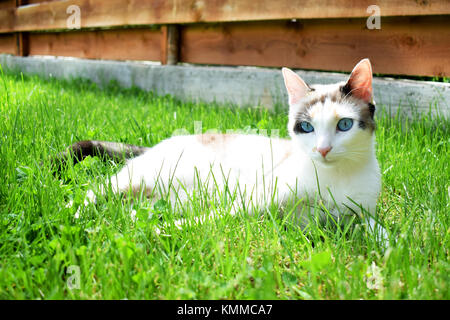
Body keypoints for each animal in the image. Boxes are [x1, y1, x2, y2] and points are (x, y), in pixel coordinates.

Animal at [56, 58, 386, 242]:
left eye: (344, 125)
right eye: (306, 127)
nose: (323, 149)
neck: (333, 179)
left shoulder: (358, 215)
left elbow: (380, 230)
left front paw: (389, 250)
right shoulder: (256, 199)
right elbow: (217, 218)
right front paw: (166, 231)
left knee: (131, 207)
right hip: (144, 176)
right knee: (96, 191)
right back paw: (72, 217)